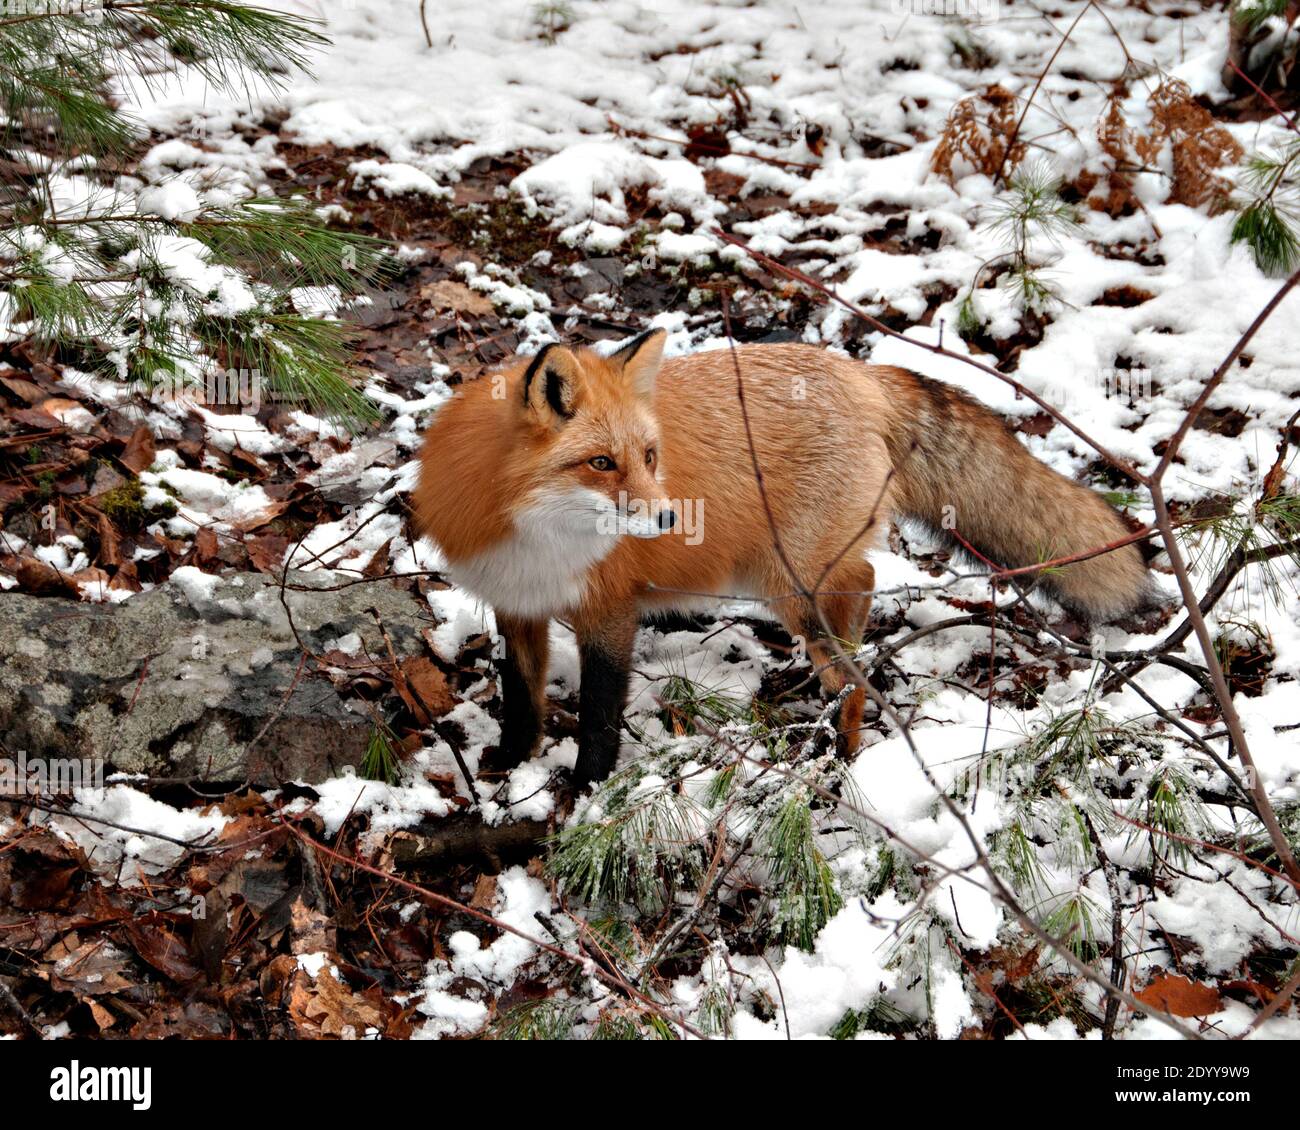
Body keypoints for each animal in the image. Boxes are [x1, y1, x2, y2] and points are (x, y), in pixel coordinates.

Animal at [413, 330, 1149, 780]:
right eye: (601, 463)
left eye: (649, 457)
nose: (670, 516)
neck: (532, 537)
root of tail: (860, 371)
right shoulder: (517, 603)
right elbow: (521, 696)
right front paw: (513, 762)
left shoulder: (610, 613)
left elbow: (598, 716)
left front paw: (585, 791)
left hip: (791, 582)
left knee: (858, 631)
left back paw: (842, 749)